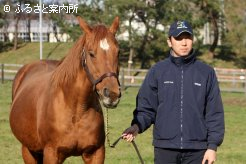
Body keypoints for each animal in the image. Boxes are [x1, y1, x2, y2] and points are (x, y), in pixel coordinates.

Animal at [9, 16, 121, 163]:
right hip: (28, 150)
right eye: (91, 54)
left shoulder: (96, 153)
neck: (77, 111)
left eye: (118, 52)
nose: (112, 94)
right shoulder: (51, 154)